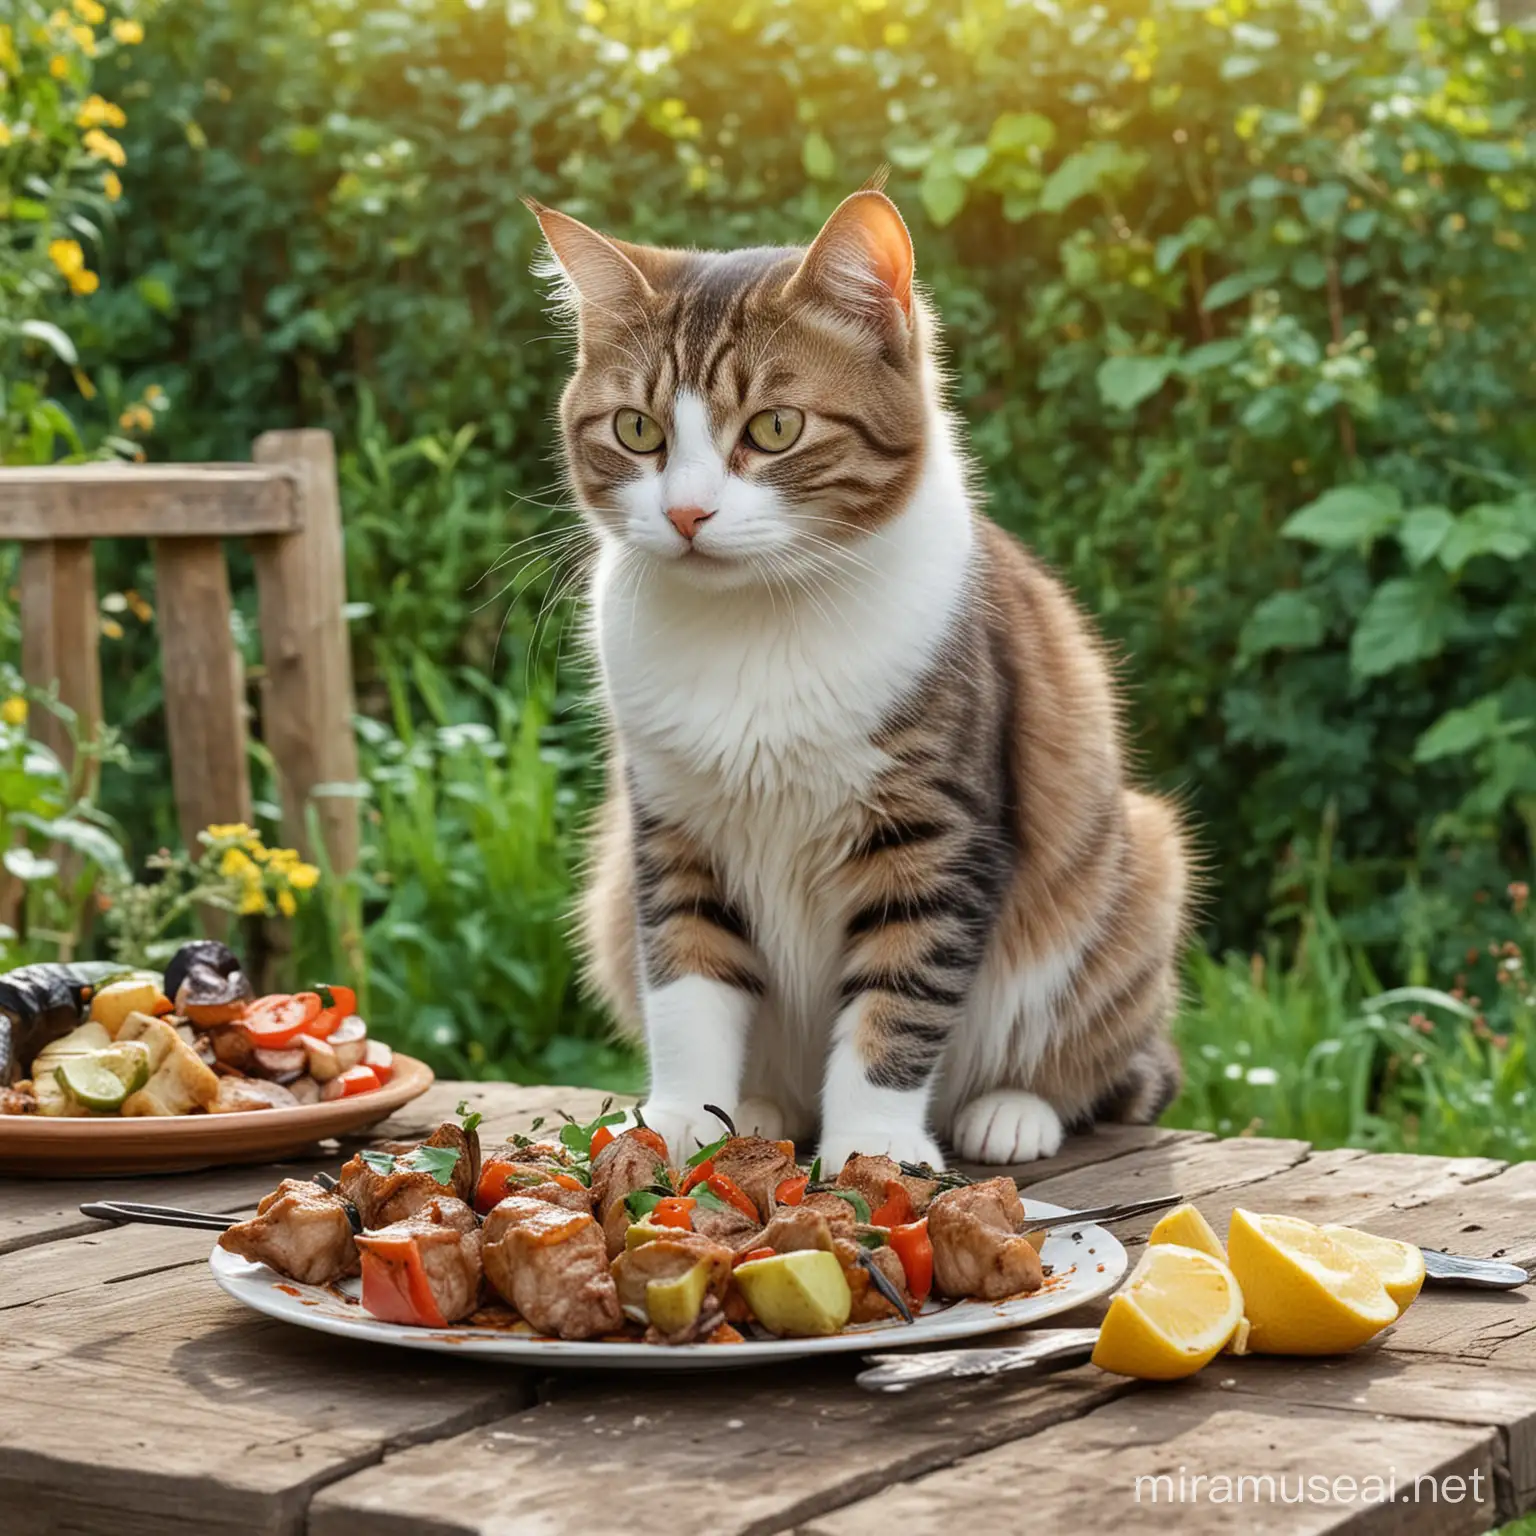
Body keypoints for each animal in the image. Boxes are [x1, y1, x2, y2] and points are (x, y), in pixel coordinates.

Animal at [534, 185, 1191, 1167]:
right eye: (636, 430)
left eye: (775, 428)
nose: (686, 514)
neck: (757, 627)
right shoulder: (671, 827)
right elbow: (687, 981)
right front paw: (682, 1121)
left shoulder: (934, 830)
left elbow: (899, 1000)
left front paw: (874, 1148)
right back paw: (758, 1109)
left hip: (1137, 862)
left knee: (1102, 1069)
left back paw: (1012, 1110)